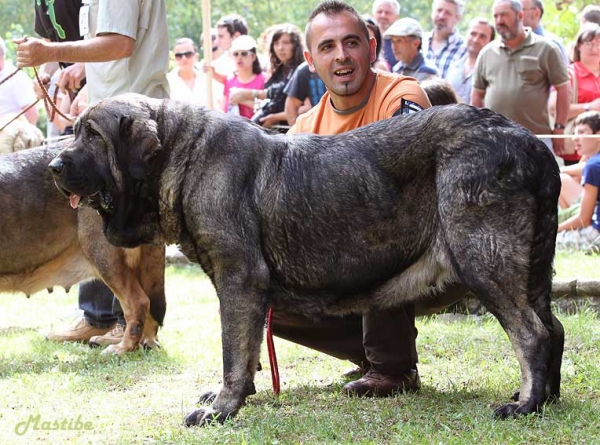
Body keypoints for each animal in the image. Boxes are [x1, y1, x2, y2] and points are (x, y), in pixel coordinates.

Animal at [49, 93, 564, 424]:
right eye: (73, 132)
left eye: (92, 135)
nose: (54, 165)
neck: (185, 156)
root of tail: (531, 143)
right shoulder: (243, 290)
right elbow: (247, 352)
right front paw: (235, 396)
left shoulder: (238, 280)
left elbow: (232, 350)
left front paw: (222, 409)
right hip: (529, 270)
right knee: (553, 328)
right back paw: (546, 399)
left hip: (483, 258)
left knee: (532, 333)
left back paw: (524, 405)